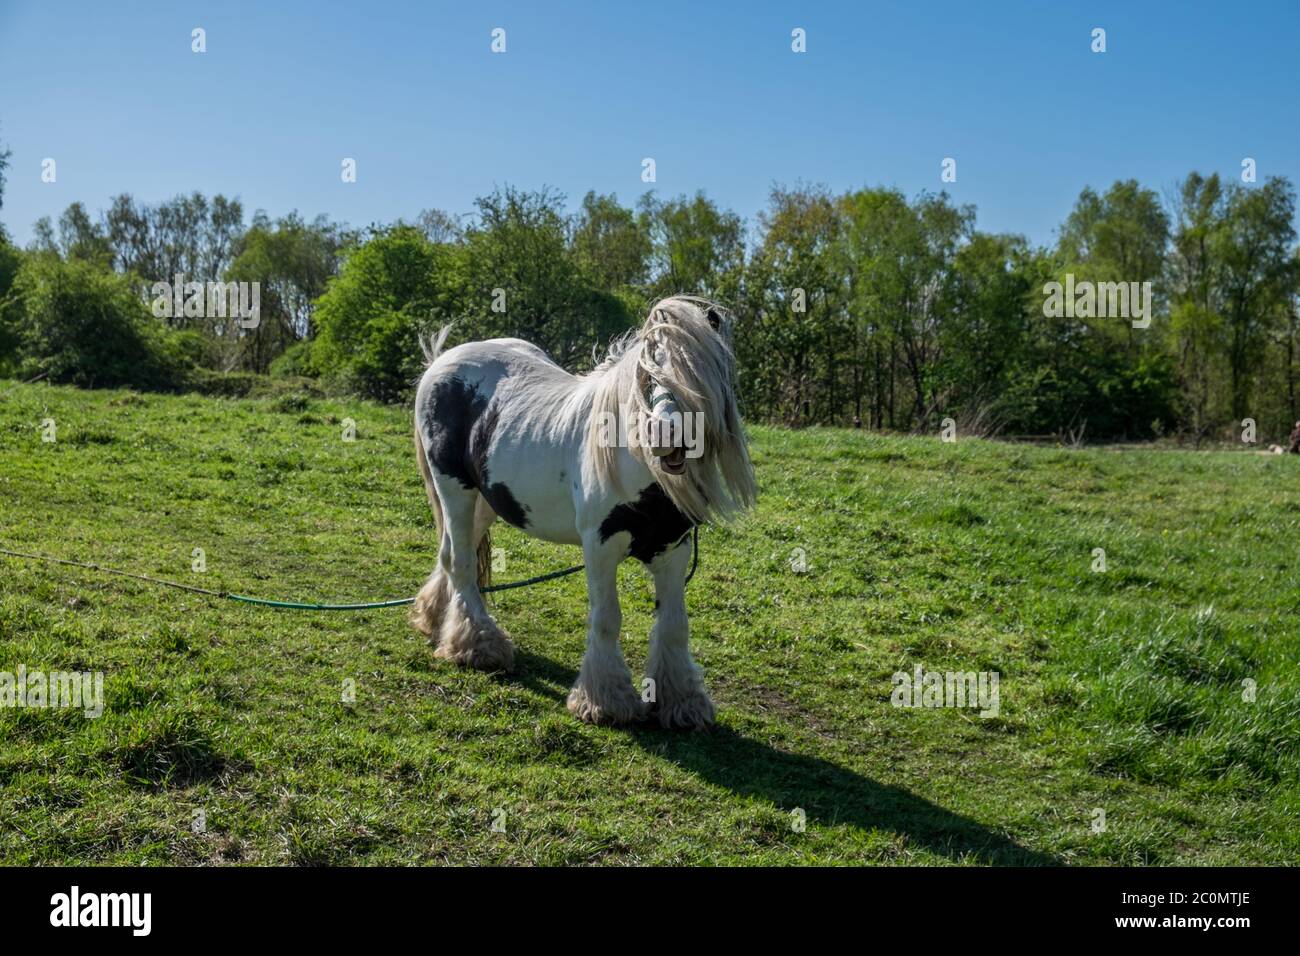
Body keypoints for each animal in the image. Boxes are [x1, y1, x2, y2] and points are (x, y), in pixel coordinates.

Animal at [410, 296, 757, 729]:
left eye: (701, 371)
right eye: (647, 374)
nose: (666, 435)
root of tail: (442, 359)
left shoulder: (673, 549)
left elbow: (674, 624)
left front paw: (682, 702)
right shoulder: (600, 545)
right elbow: (607, 618)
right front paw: (605, 701)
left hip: (487, 500)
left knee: (453, 555)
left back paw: (435, 619)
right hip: (454, 489)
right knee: (461, 562)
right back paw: (478, 646)